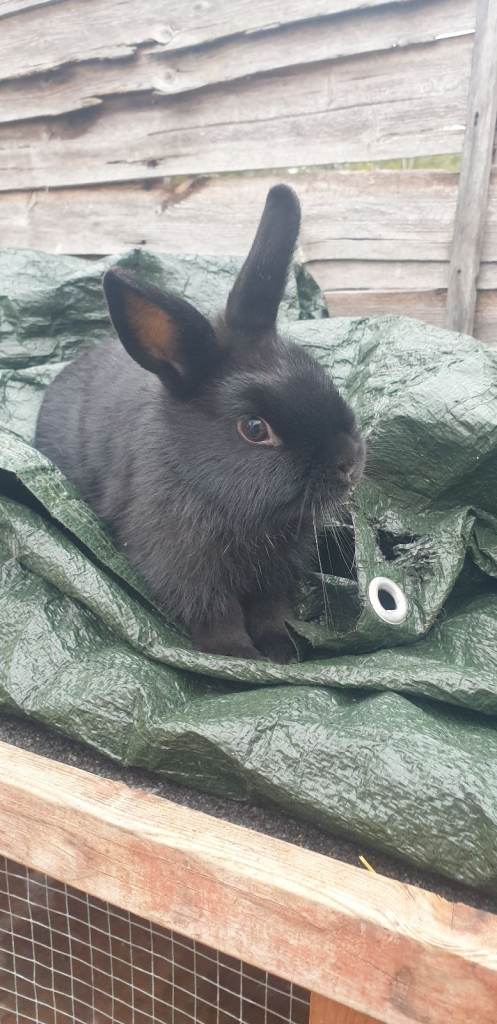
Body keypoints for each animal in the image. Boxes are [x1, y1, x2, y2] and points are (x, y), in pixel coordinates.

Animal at [35, 185, 365, 663]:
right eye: (254, 429)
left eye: (322, 375)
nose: (350, 461)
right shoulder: (185, 567)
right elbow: (216, 615)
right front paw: (242, 658)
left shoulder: (277, 575)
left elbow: (270, 611)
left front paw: (282, 652)